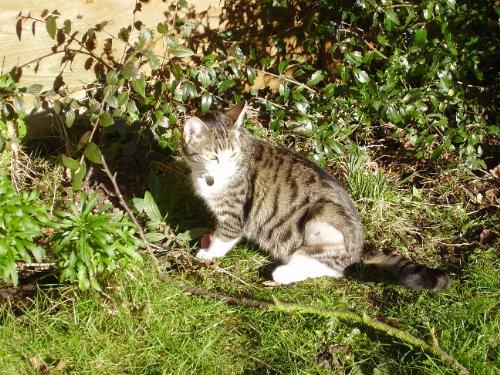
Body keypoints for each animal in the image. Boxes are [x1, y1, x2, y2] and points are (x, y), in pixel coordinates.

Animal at [182, 103, 452, 290]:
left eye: (232, 155)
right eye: (214, 157)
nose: (225, 168)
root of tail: (359, 249)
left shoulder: (235, 215)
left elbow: (224, 237)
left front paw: (207, 254)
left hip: (319, 217)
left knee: (333, 268)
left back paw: (283, 273)